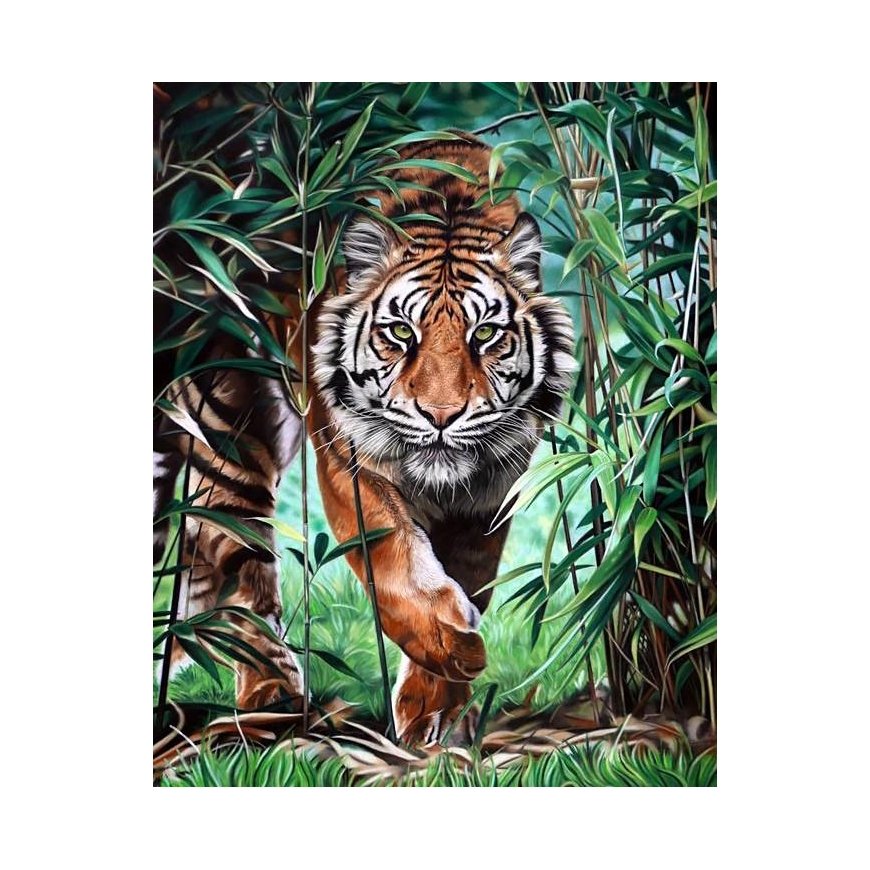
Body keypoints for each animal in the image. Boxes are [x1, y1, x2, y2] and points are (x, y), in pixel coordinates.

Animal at [153, 133, 575, 745]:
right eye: (400, 332)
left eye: (485, 335)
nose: (442, 415)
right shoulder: (350, 466)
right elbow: (394, 562)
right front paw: (457, 648)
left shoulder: (490, 493)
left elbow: (470, 576)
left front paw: (435, 711)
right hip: (230, 432)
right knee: (239, 563)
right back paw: (274, 701)